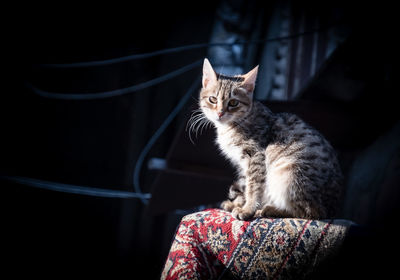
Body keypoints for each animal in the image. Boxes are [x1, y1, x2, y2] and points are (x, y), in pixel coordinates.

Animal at [192, 58, 342, 221]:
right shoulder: (242, 163)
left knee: (311, 212)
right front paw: (237, 204)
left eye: (233, 103)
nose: (220, 113)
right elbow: (245, 184)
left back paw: (269, 209)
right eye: (213, 99)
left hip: (289, 173)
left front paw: (247, 209)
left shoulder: (256, 156)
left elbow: (253, 186)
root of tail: (334, 208)